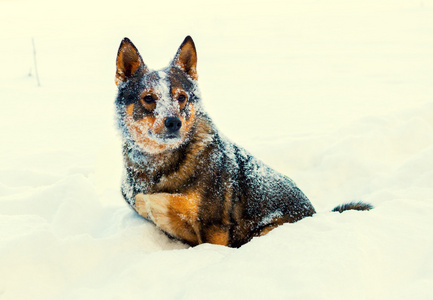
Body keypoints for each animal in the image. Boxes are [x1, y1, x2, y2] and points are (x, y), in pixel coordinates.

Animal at [114, 36, 372, 247]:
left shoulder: (214, 225)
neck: (157, 163)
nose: (173, 122)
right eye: (148, 98)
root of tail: (317, 214)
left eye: (182, 97)